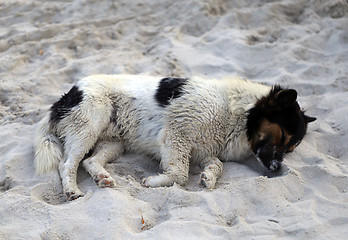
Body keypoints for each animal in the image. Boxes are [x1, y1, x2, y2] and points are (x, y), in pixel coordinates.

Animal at [34, 75, 316, 201]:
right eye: (283, 135)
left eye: (292, 147)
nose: (277, 169)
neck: (236, 113)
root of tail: (66, 95)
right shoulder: (176, 133)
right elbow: (180, 173)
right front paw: (154, 181)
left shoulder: (204, 150)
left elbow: (217, 166)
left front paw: (208, 178)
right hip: (91, 122)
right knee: (67, 163)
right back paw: (72, 190)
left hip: (114, 142)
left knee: (90, 161)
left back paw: (102, 177)